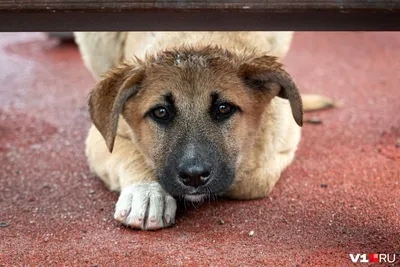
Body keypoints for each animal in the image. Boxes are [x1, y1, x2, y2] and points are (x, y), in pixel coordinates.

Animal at [73, 32, 332, 231]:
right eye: (160, 112)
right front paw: (147, 194)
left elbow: (252, 180)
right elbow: (131, 154)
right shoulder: (101, 137)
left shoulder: (283, 141)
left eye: (224, 108)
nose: (194, 176)